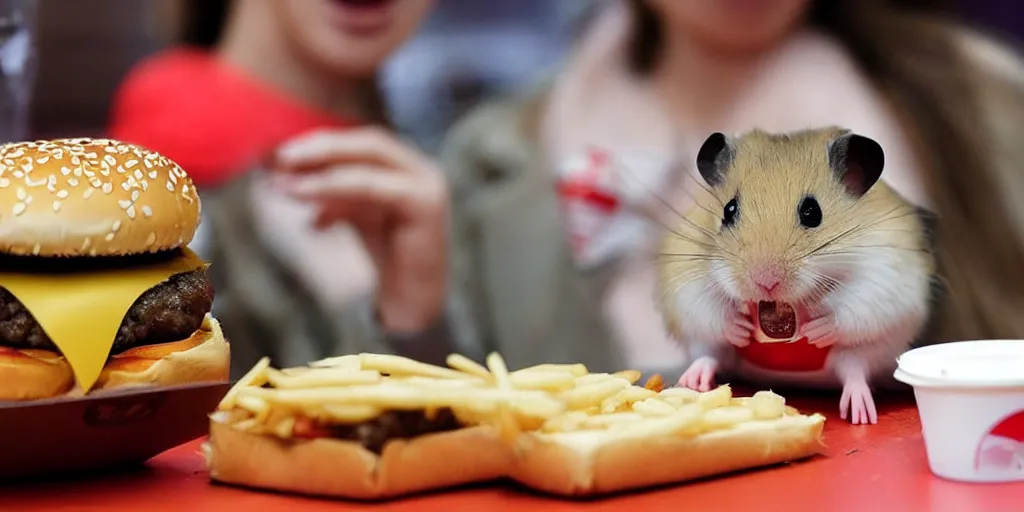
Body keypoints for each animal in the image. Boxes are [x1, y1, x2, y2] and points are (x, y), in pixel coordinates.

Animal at [655, 124, 937, 423]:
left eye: (812, 212)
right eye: (728, 210)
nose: (765, 282)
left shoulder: (884, 277)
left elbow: (848, 309)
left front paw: (816, 329)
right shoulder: (686, 279)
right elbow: (712, 311)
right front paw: (740, 327)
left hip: (871, 351)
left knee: (854, 371)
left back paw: (861, 414)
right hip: (707, 343)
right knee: (710, 356)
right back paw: (691, 381)